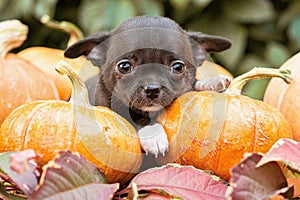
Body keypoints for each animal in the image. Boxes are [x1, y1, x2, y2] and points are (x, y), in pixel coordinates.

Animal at [64, 15, 231, 156]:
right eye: (124, 67)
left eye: (178, 67)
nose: (152, 89)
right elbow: (134, 115)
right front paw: (153, 133)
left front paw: (211, 83)